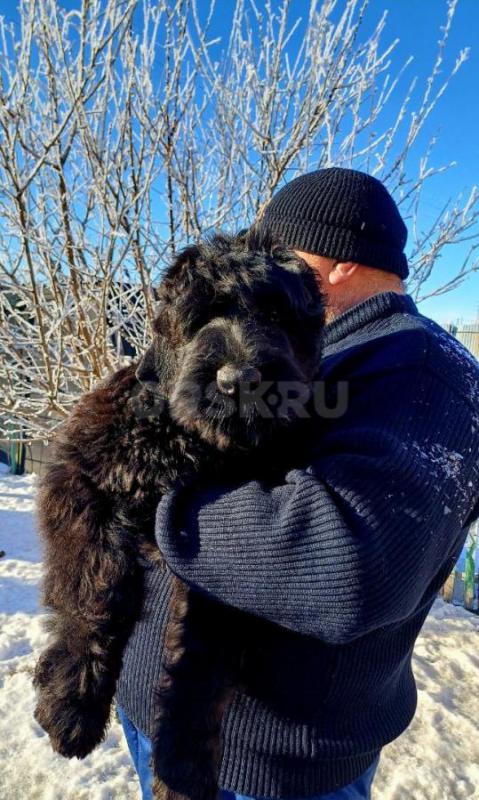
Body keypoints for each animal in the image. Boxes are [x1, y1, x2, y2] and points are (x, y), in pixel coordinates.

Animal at [33, 230, 326, 800]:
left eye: (278, 314)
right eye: (200, 317)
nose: (240, 378)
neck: (192, 445)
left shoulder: (236, 560)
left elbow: (201, 662)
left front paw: (183, 767)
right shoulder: (80, 477)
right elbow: (96, 587)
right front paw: (71, 706)